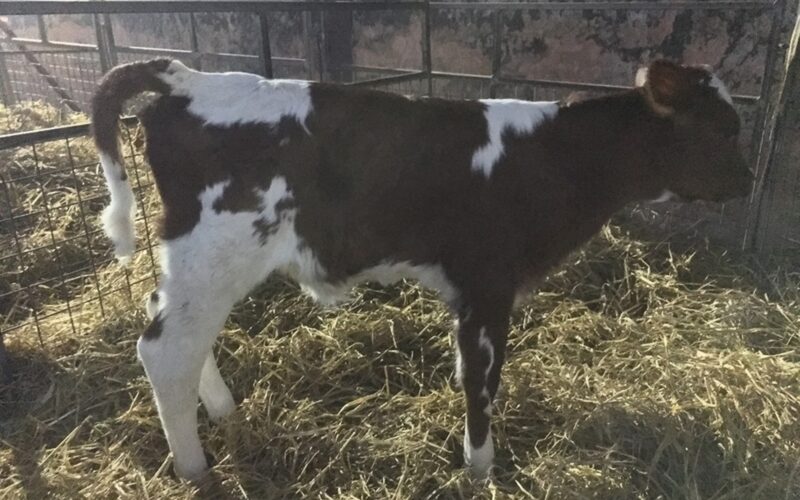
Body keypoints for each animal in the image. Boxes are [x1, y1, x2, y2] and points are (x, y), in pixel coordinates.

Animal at [91, 58, 752, 481]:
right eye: (723, 129)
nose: (747, 182)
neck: (553, 157)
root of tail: (190, 79)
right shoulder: (488, 282)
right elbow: (483, 380)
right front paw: (481, 467)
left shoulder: (470, 290)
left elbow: (466, 373)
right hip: (216, 251)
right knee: (166, 350)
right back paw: (196, 470)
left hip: (197, 262)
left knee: (170, 326)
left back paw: (225, 411)